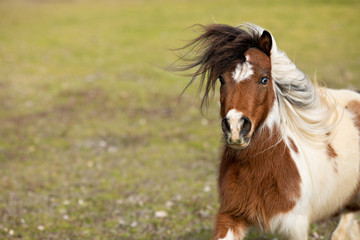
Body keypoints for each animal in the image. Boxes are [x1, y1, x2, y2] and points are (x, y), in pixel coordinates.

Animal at [176, 23, 360, 240]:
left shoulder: (295, 227)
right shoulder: (231, 216)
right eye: (221, 79)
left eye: (264, 79)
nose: (236, 127)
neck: (262, 172)